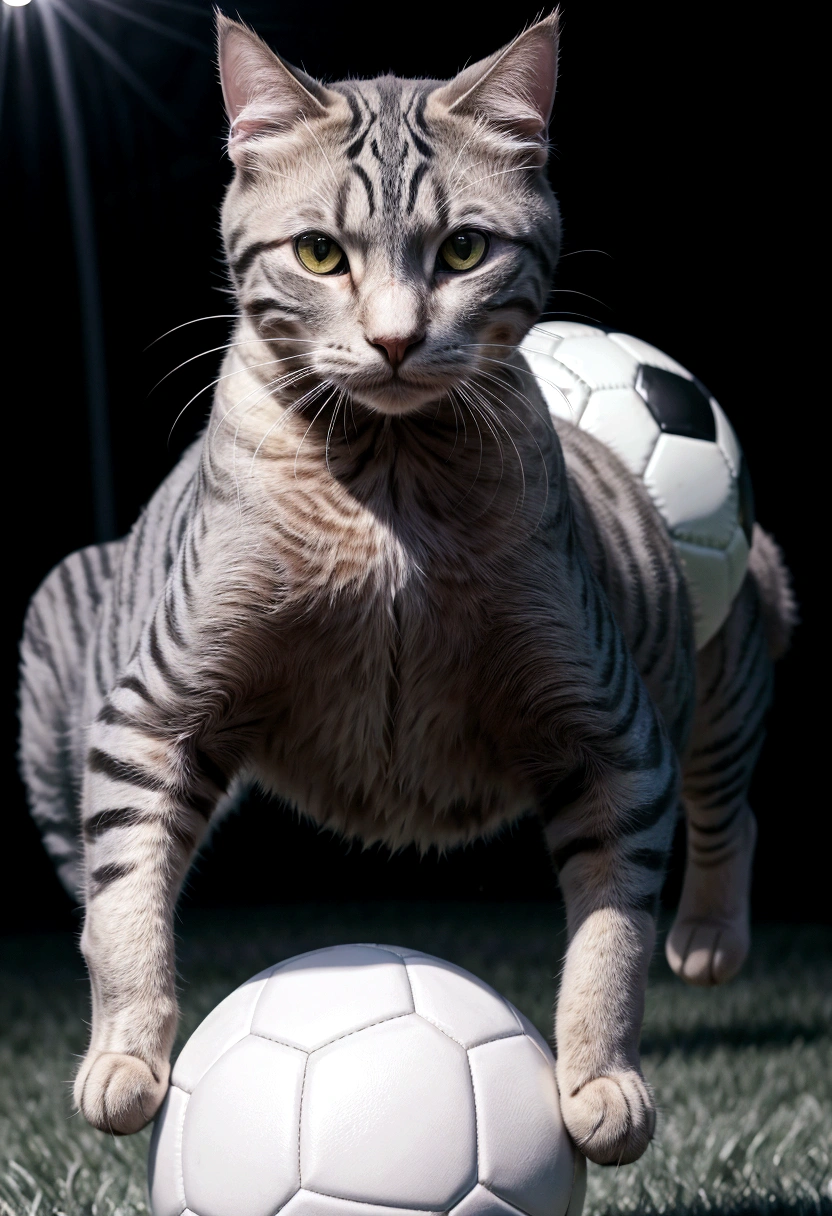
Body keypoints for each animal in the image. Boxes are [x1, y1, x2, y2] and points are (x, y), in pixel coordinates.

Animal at [19, 11, 793, 1167]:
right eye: (319, 254)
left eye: (463, 250)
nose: (392, 338)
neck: (387, 489)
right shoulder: (150, 711)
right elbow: (122, 912)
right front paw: (125, 1057)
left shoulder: (615, 736)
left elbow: (609, 942)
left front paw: (598, 1080)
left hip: (719, 673)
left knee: (725, 810)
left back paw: (705, 937)